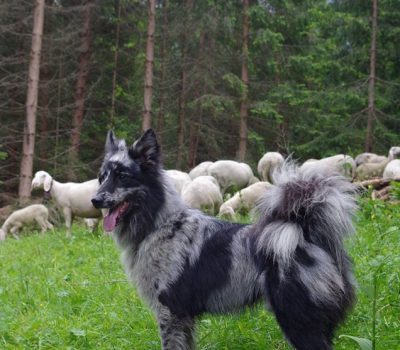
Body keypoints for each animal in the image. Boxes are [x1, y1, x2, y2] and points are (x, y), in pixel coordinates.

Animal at [91, 129, 356, 350]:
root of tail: (304, 232)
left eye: (123, 176)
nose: (95, 200)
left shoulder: (171, 314)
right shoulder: (183, 320)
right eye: (102, 177)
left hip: (298, 323)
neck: (159, 225)